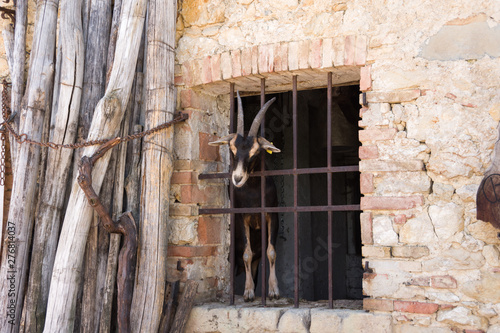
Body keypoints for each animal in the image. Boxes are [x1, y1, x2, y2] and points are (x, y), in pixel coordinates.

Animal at [209, 93, 282, 300]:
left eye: (255, 152)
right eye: (232, 148)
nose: (237, 178)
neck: (253, 192)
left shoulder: (272, 215)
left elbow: (271, 251)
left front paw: (273, 290)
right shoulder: (243, 217)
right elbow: (247, 253)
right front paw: (248, 292)